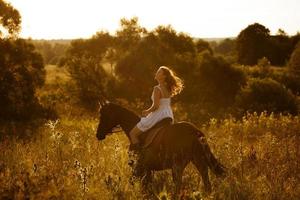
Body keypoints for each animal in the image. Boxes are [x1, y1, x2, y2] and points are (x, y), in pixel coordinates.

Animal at [96, 101, 225, 196]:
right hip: (198, 160)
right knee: (206, 180)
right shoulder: (147, 169)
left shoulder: (139, 168)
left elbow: (138, 183)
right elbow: (146, 185)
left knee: (178, 185)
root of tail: (194, 131)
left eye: (104, 116)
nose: (98, 134)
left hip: (178, 165)